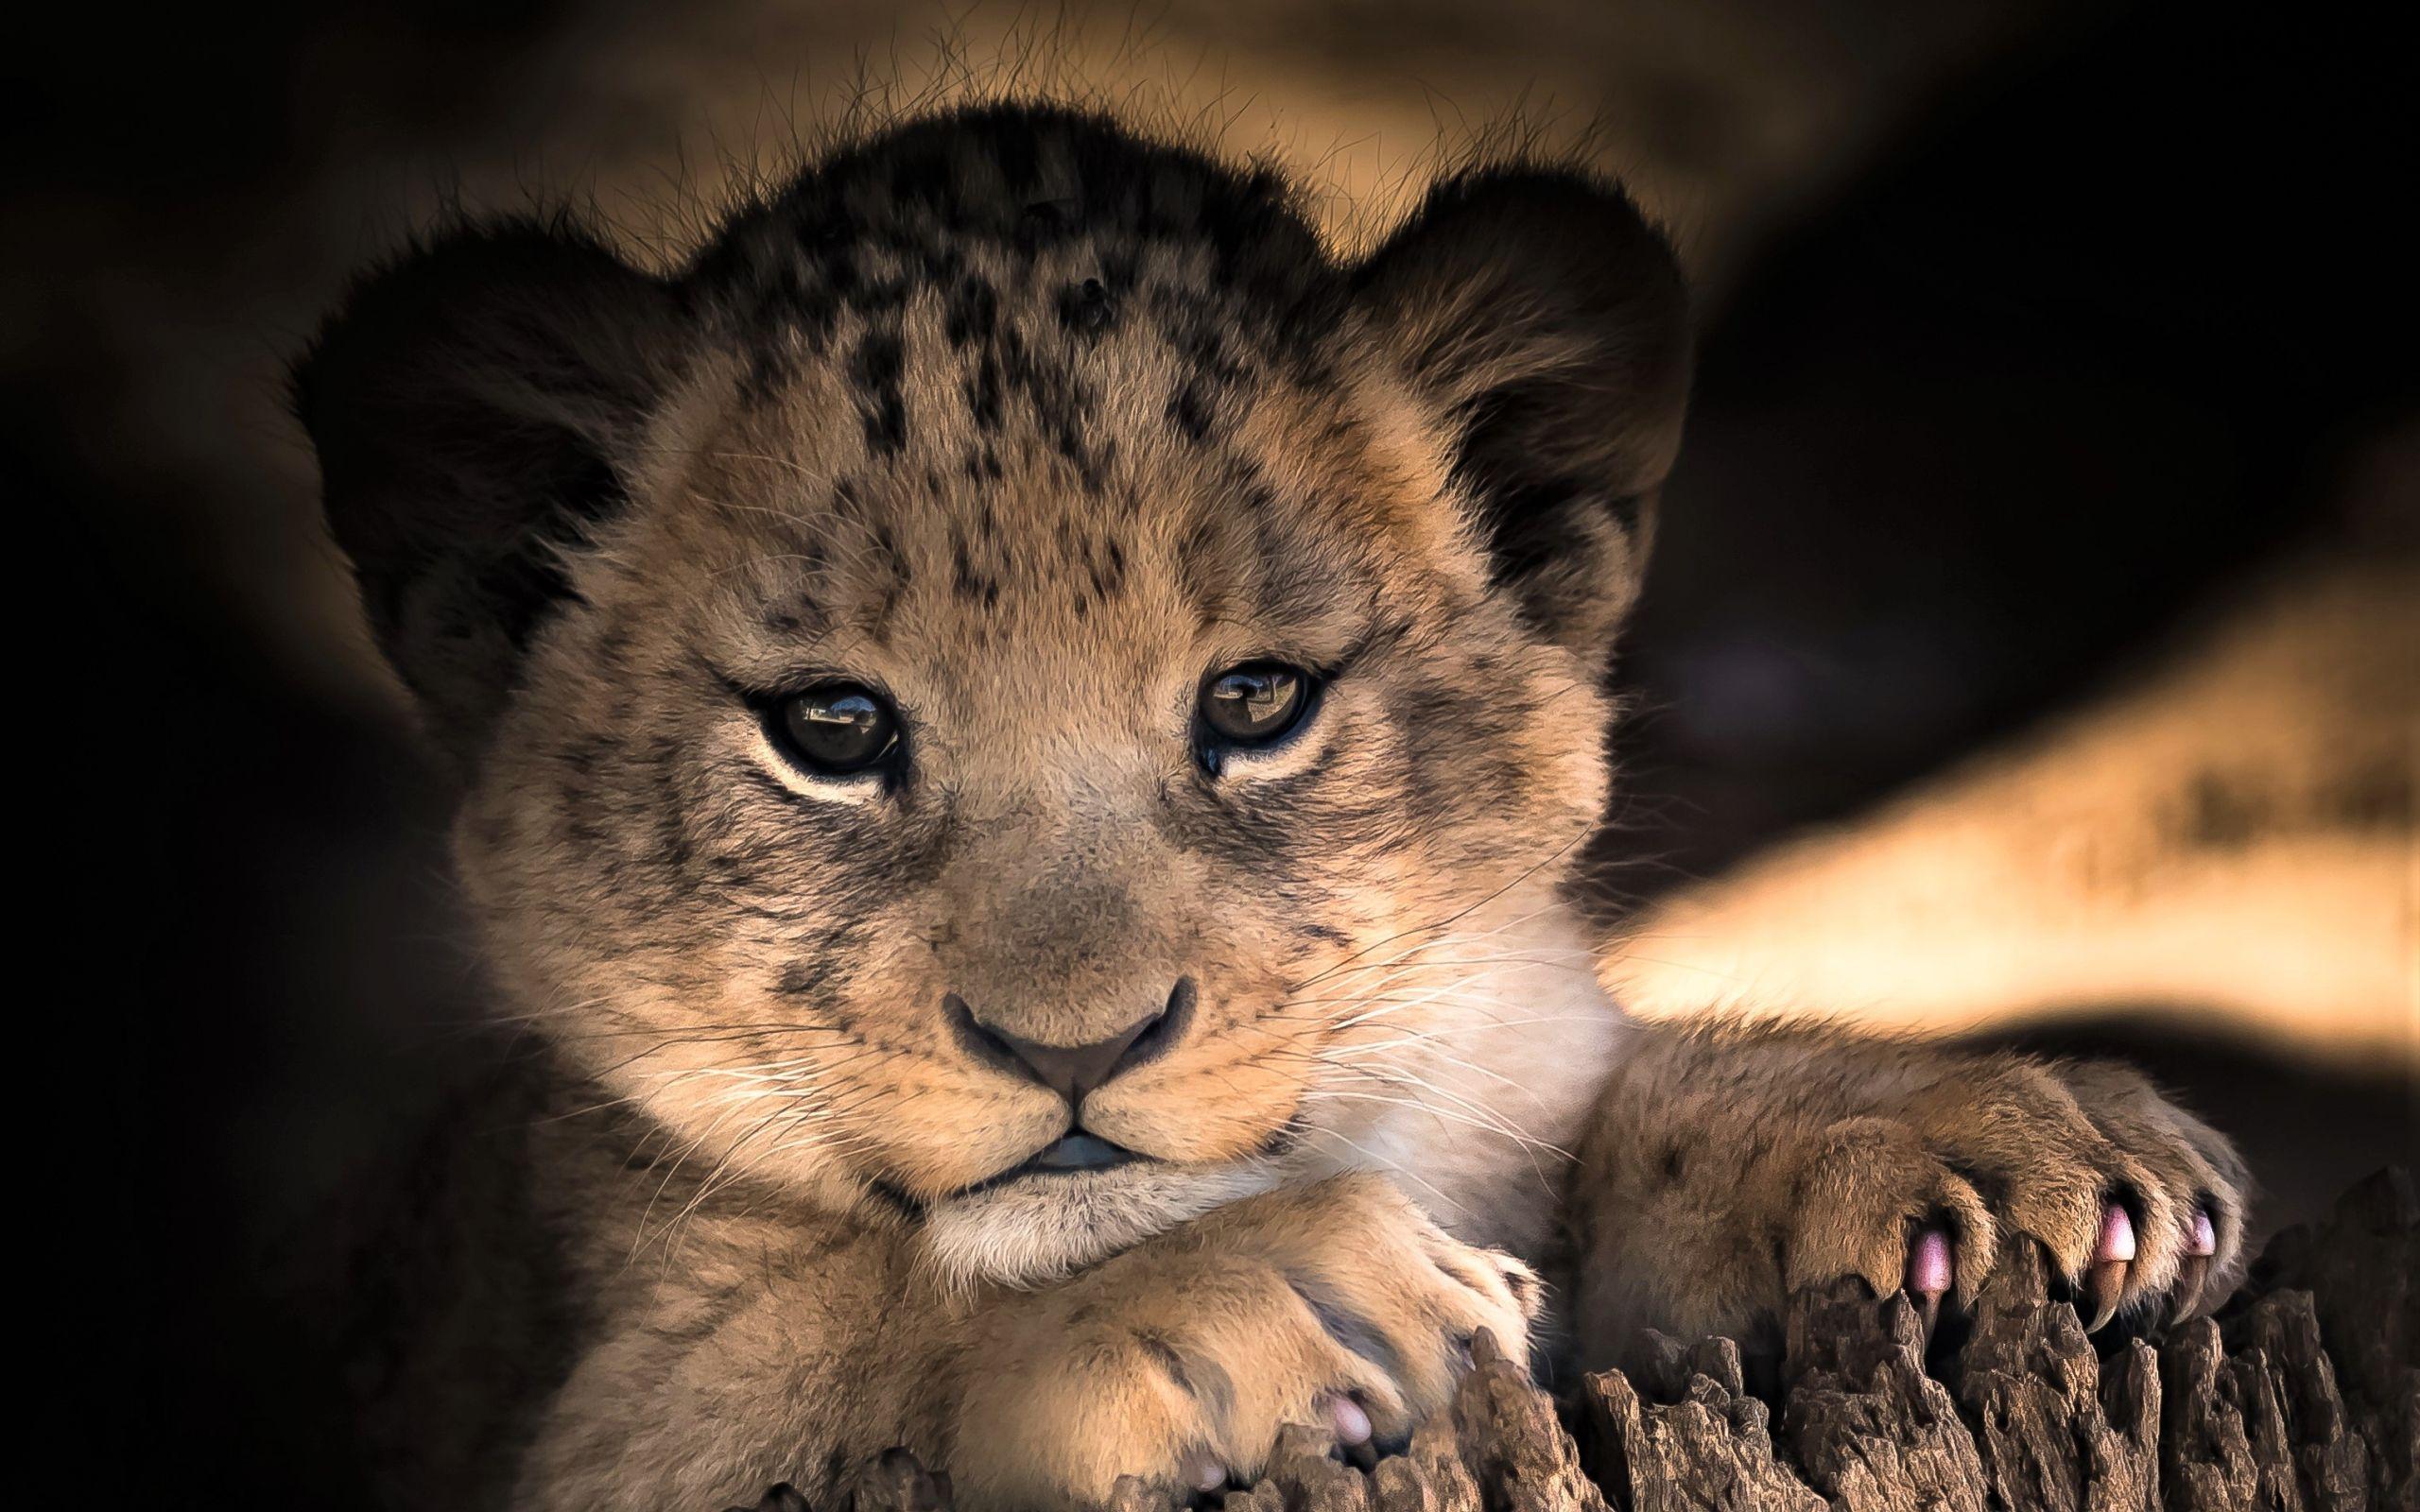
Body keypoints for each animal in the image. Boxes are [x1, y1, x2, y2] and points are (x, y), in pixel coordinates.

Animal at [292, 102, 2246, 1510]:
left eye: (1255, 704)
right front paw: (1269, 1301)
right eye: (831, 727)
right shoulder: (580, 1407)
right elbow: (843, 1351)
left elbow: (1621, 1118)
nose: (1074, 1048)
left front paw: (1991, 1143)